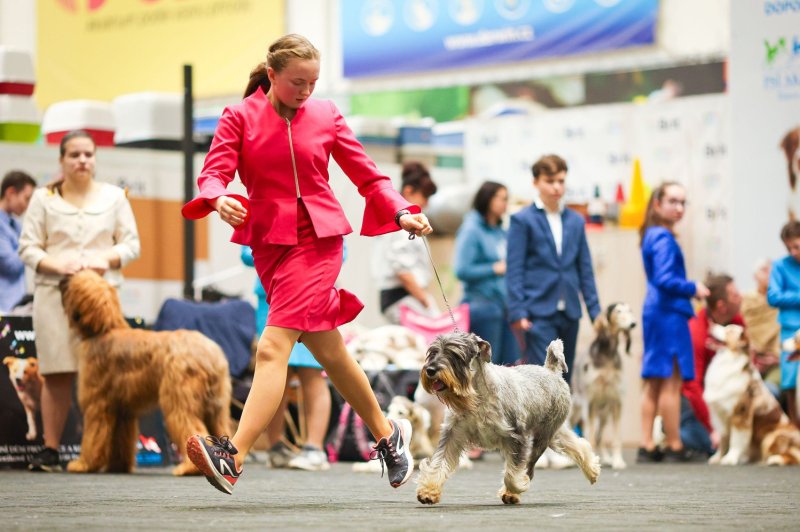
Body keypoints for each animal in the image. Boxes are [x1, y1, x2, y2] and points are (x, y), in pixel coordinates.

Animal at [418, 332, 600, 502]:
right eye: (433, 352)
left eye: (455, 354)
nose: (431, 370)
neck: (476, 397)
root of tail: (551, 371)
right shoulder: (452, 434)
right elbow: (438, 463)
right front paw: (428, 491)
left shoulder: (516, 436)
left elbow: (514, 473)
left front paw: (514, 489)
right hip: (553, 433)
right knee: (575, 443)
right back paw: (592, 470)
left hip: (541, 438)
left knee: (531, 465)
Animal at [568, 304, 636, 470]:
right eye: (618, 311)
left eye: (630, 310)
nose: (633, 323)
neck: (608, 355)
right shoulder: (590, 403)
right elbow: (590, 437)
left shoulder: (617, 402)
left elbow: (615, 438)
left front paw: (617, 461)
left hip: (604, 414)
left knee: (600, 437)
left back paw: (606, 458)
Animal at [708, 322, 800, 464]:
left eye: (729, 331)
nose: (711, 324)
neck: (729, 360)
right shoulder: (720, 414)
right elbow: (723, 440)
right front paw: (718, 457)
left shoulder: (741, 413)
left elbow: (735, 440)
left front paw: (730, 458)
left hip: (771, 436)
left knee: (793, 455)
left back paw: (774, 459)